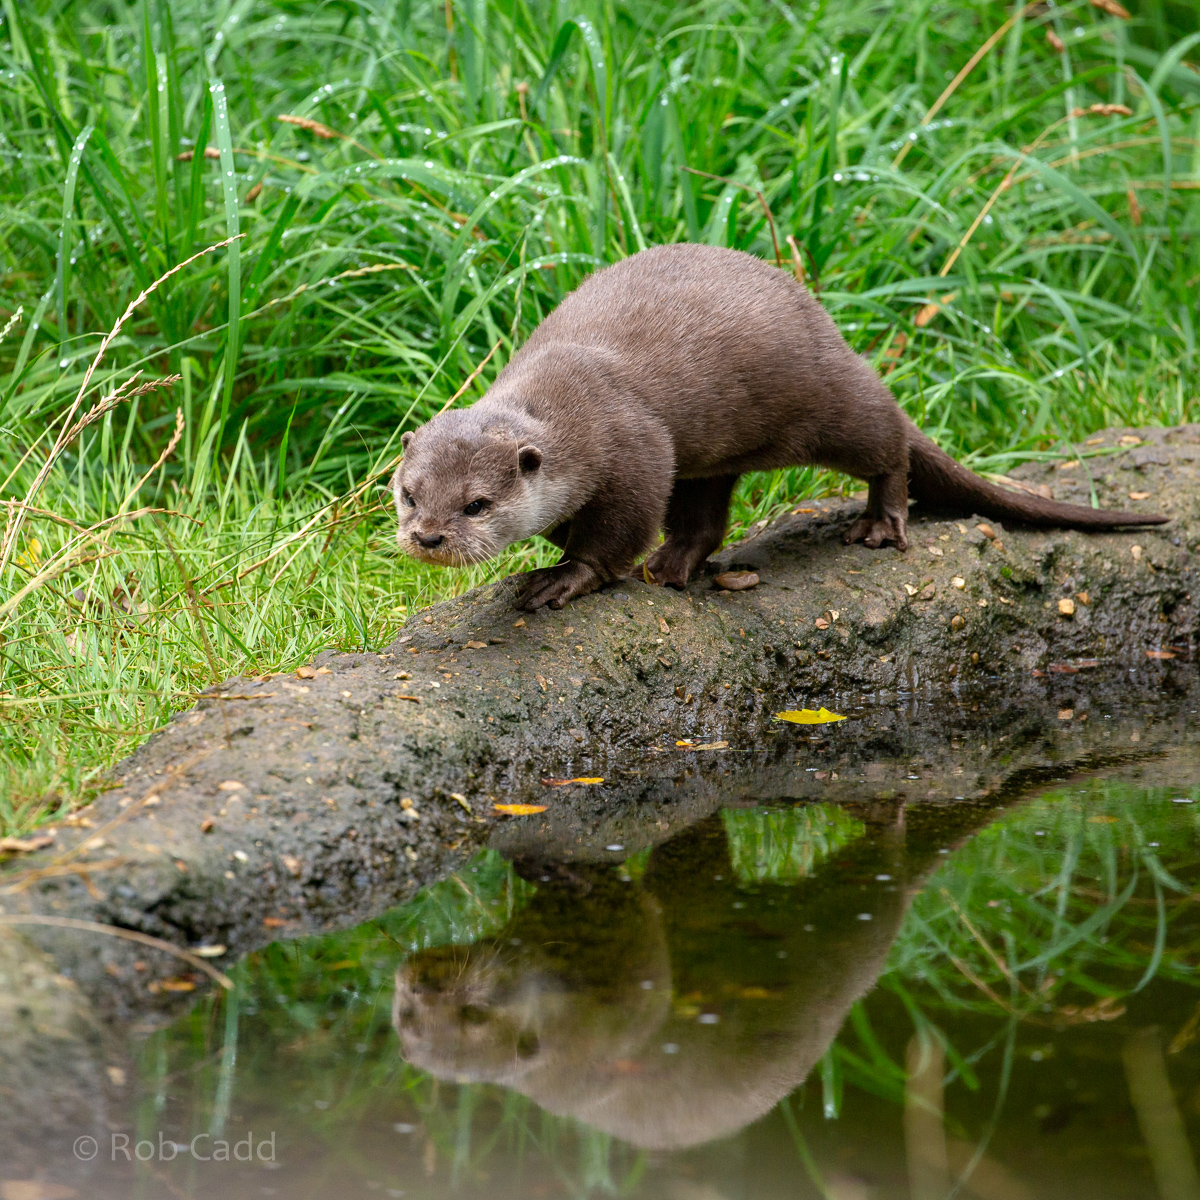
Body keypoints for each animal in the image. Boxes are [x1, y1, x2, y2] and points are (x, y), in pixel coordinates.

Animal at [393, 244, 1166, 610]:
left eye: (477, 505)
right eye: (408, 494)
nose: (427, 537)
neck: (566, 413)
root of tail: (827, 327)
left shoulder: (636, 451)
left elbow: (613, 538)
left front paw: (563, 579)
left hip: (824, 403)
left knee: (888, 440)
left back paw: (882, 521)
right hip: (712, 455)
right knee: (706, 518)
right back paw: (675, 566)